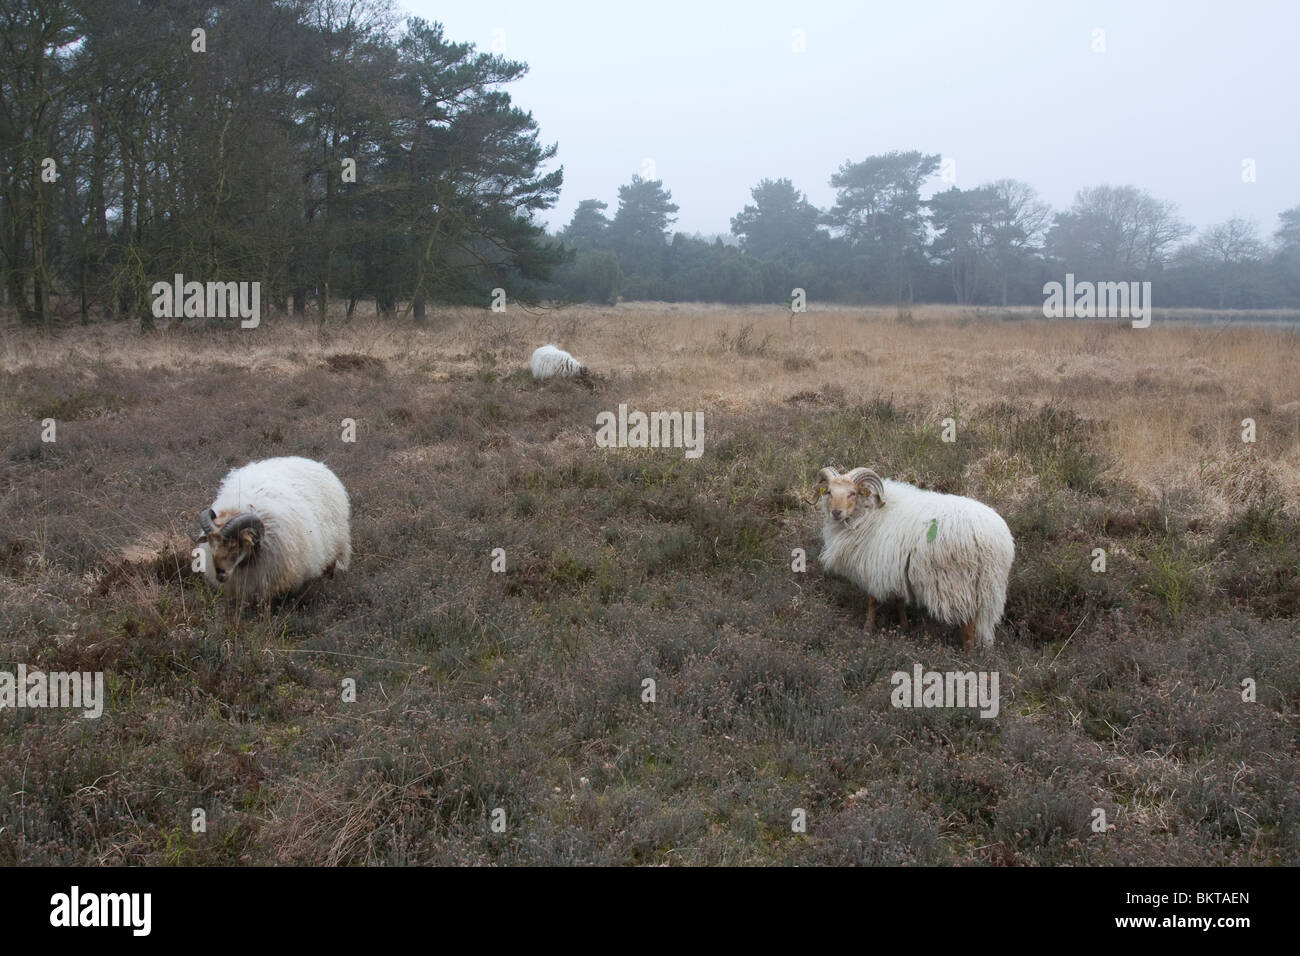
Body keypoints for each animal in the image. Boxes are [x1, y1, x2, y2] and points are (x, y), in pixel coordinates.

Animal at [811, 463, 1013, 650]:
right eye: (829, 492)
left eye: (852, 493)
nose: (836, 513)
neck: (869, 512)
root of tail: (996, 541)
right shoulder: (894, 566)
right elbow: (899, 600)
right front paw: (905, 627)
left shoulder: (875, 564)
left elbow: (872, 601)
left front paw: (868, 628)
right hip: (984, 585)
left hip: (960, 584)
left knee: (969, 623)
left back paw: (967, 653)